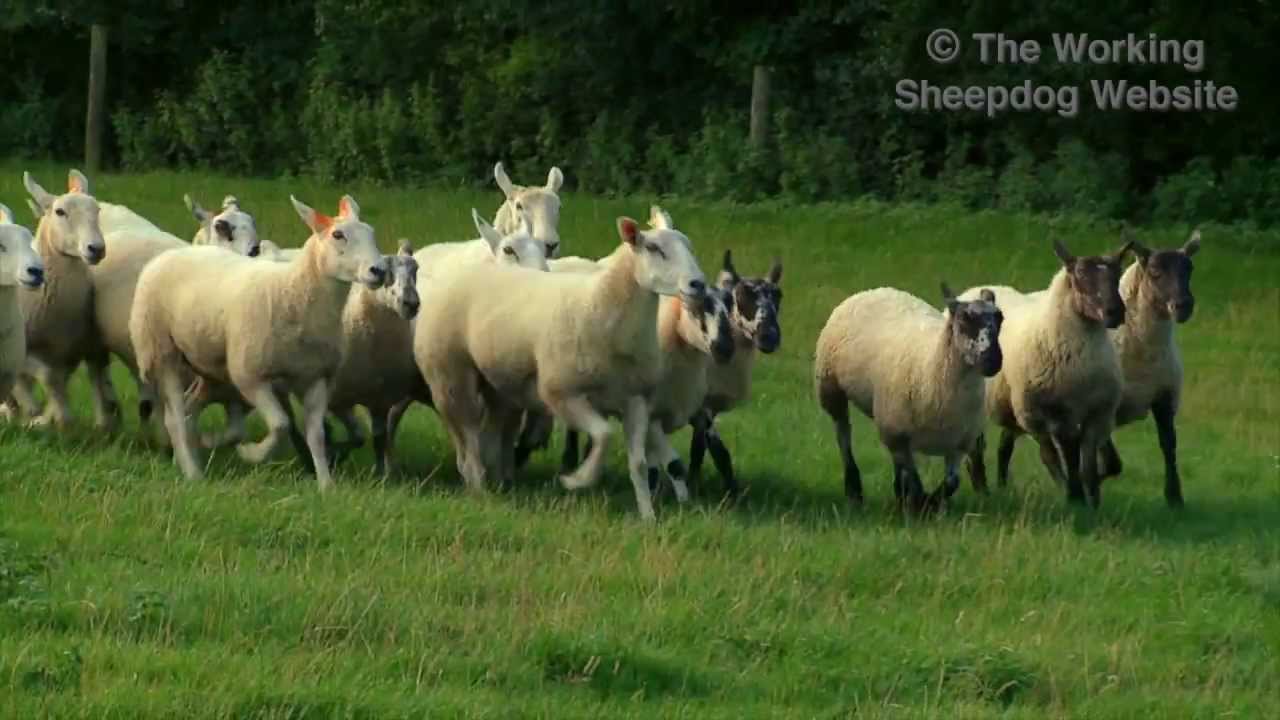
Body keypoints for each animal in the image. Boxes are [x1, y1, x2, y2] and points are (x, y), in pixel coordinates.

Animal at [1, 170, 107, 428]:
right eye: (60, 212)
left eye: (97, 209)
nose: (96, 249)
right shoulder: (23, 352)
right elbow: (45, 377)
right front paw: (40, 413)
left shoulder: (68, 354)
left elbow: (58, 383)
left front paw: (53, 416)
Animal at [128, 194, 388, 490]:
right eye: (338, 235)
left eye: (371, 233)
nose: (379, 271)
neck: (292, 291)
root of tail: (174, 252)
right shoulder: (250, 376)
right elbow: (281, 424)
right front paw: (251, 453)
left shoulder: (316, 378)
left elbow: (317, 435)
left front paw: (326, 485)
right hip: (161, 349)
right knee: (174, 417)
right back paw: (193, 472)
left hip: (211, 366)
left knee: (189, 407)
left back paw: (191, 456)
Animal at [415, 207, 708, 520]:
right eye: (653, 248)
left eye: (689, 246)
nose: (698, 285)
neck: (600, 306)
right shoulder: (560, 393)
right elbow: (604, 435)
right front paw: (577, 479)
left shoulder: (637, 399)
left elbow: (638, 464)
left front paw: (648, 516)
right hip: (449, 373)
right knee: (467, 434)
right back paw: (479, 488)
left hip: (497, 385)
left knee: (489, 434)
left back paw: (495, 482)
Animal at [815, 284, 1005, 511]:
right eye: (964, 319)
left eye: (1000, 318)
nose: (993, 360)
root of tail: (875, 289)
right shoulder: (898, 435)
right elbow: (915, 480)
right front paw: (920, 505)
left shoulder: (960, 443)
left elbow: (952, 482)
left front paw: (930, 502)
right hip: (831, 388)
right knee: (843, 435)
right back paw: (854, 489)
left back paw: (898, 494)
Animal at [960, 238, 1134, 507]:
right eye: (1080, 276)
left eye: (1117, 275)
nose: (1115, 312)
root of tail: (975, 289)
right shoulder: (1039, 414)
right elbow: (1053, 456)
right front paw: (1072, 495)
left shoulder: (1098, 414)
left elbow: (1088, 463)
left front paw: (1092, 499)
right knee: (976, 452)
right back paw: (983, 490)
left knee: (1004, 447)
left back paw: (1002, 486)